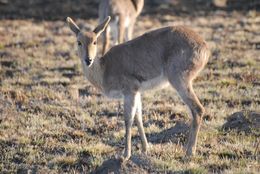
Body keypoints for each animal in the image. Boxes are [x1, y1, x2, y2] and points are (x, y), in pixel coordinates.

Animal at [66, 15, 209, 161]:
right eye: (79, 42)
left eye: (95, 41)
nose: (88, 60)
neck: (104, 69)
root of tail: (204, 45)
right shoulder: (137, 92)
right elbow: (138, 117)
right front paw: (145, 148)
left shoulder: (129, 91)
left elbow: (128, 119)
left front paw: (125, 154)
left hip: (179, 81)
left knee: (198, 109)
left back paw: (190, 152)